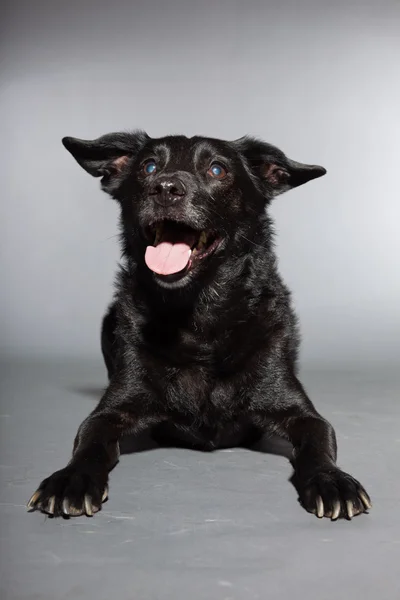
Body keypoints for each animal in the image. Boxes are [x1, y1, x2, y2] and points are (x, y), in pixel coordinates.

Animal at [27, 131, 372, 520]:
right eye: (148, 167)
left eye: (217, 169)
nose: (165, 187)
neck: (199, 318)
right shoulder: (109, 412)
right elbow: (89, 440)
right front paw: (72, 479)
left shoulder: (303, 415)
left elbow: (319, 440)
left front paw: (331, 480)